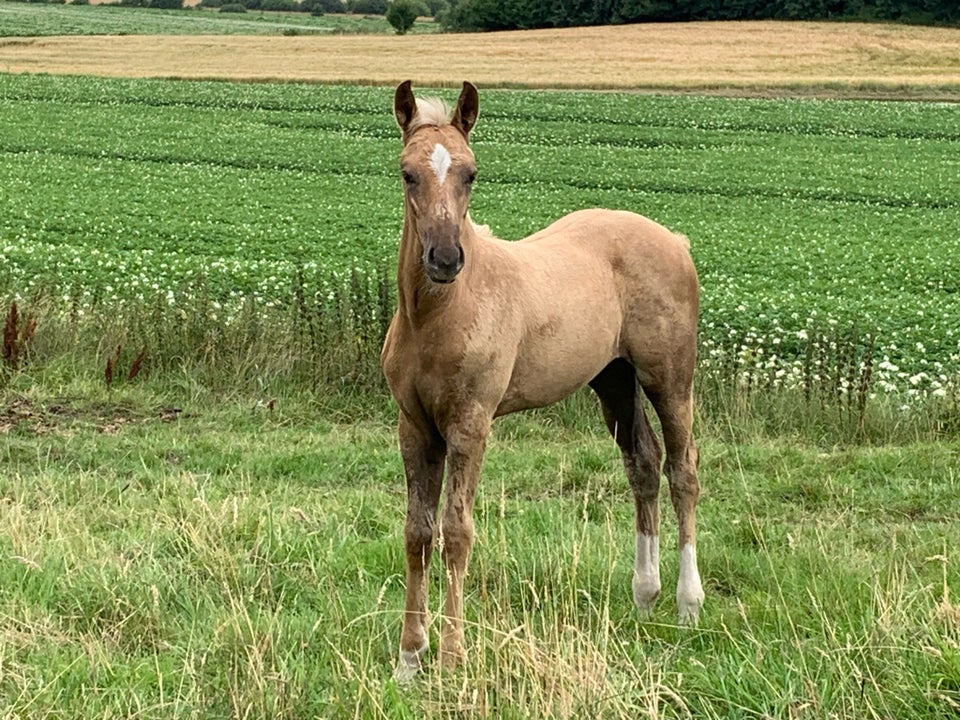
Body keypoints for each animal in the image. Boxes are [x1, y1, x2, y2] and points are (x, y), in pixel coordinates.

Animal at [382, 80, 704, 680]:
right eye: (408, 173)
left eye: (471, 172)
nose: (445, 258)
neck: (440, 315)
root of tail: (675, 240)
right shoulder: (413, 426)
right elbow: (417, 532)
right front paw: (409, 658)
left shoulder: (471, 425)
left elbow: (456, 532)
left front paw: (452, 657)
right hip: (614, 380)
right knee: (643, 464)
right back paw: (644, 595)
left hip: (670, 376)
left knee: (683, 471)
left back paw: (687, 603)